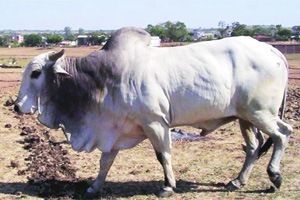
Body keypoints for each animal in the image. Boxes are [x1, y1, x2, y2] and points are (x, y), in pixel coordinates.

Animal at [12, 26, 292, 197]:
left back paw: (275, 176)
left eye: (36, 73)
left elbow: (163, 155)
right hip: (245, 118)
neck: (101, 78)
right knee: (254, 146)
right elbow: (105, 161)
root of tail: (273, 50)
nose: (16, 105)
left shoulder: (155, 122)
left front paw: (167, 187)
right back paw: (237, 181)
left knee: (283, 134)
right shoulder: (115, 128)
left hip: (261, 113)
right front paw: (94, 187)